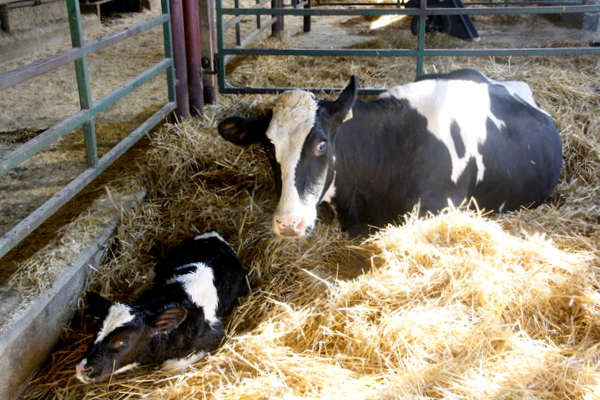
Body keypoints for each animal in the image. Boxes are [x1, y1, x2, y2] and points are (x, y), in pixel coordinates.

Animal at [75, 230, 248, 382]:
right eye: (97, 330)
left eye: (124, 340)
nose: (82, 368)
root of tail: (213, 235)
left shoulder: (214, 336)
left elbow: (169, 365)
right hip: (162, 263)